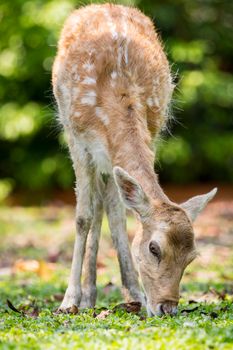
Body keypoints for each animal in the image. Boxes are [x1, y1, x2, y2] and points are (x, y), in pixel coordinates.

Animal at [52, 2, 218, 316]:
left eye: (191, 257)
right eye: (154, 248)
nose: (167, 308)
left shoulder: (151, 136)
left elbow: (117, 215)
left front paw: (134, 295)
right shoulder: (78, 142)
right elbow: (82, 217)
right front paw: (68, 300)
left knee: (108, 206)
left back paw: (108, 294)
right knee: (98, 208)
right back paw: (86, 298)